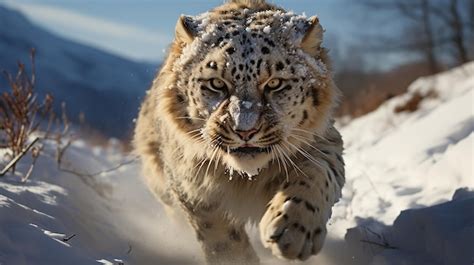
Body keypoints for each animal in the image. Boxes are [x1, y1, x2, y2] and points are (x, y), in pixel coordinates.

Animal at [133, 0, 344, 262]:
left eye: (275, 83)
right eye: (216, 83)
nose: (245, 129)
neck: (246, 179)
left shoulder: (323, 143)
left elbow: (317, 173)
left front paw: (292, 231)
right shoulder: (193, 186)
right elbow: (220, 237)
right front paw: (237, 257)